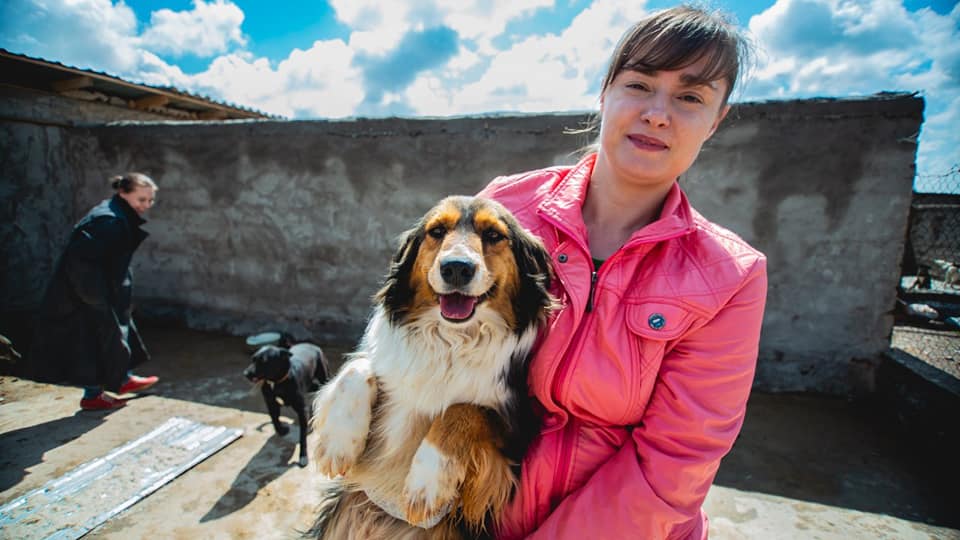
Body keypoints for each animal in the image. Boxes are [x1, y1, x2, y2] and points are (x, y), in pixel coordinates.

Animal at [309, 195, 555, 539]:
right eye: (437, 231)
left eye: (494, 235)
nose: (456, 268)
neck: (449, 340)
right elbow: (359, 368)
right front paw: (337, 442)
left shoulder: (517, 432)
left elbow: (463, 410)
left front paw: (427, 483)